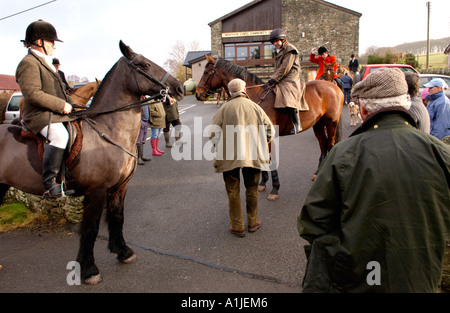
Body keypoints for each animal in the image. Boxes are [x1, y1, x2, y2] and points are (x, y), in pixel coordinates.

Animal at [0, 40, 185, 282]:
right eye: (144, 65)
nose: (179, 88)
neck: (108, 130)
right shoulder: (96, 191)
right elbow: (91, 228)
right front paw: (89, 270)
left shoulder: (119, 187)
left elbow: (117, 217)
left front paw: (123, 251)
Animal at [195, 55, 342, 199]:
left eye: (206, 72)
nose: (197, 93)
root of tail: (334, 87)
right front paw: (262, 183)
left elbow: (271, 160)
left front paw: (275, 188)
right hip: (318, 125)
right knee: (323, 145)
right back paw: (317, 172)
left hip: (331, 123)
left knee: (330, 145)